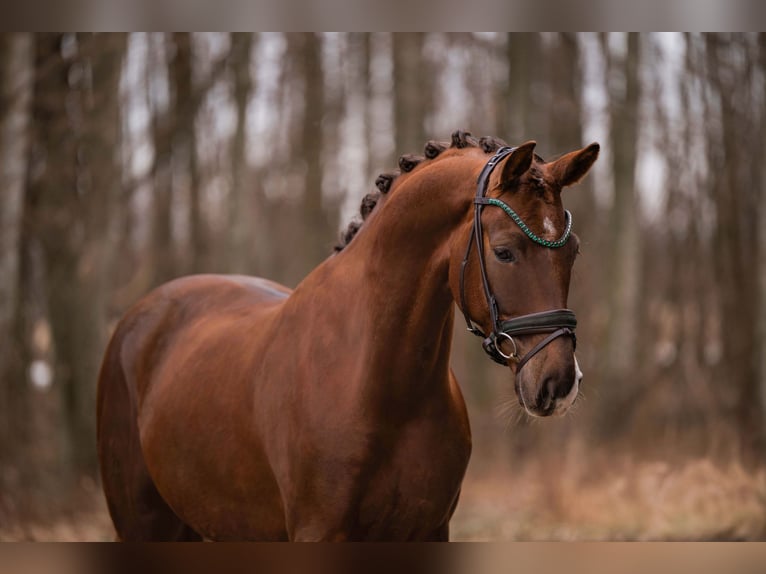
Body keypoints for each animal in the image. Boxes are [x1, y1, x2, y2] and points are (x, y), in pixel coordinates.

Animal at [96, 130, 599, 541]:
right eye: (504, 252)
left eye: (573, 251)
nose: (558, 384)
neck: (378, 385)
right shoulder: (318, 531)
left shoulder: (431, 529)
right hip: (143, 521)